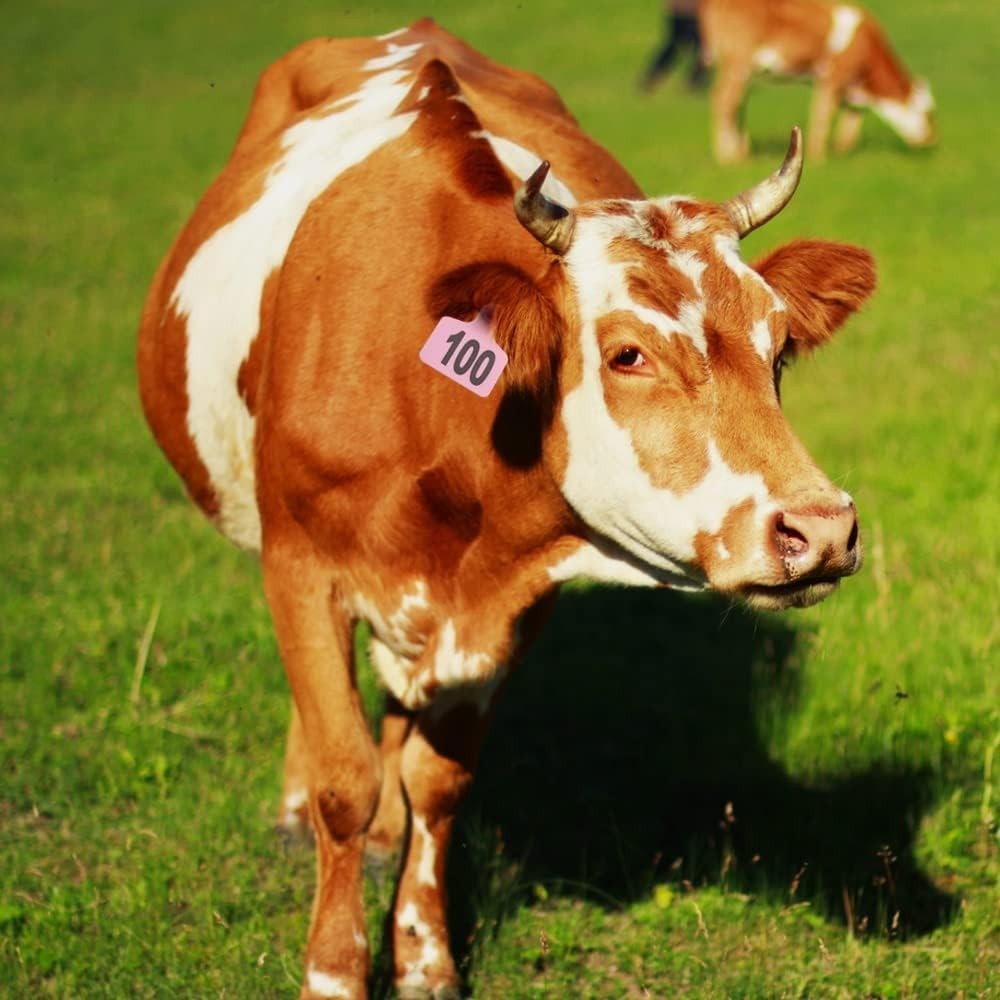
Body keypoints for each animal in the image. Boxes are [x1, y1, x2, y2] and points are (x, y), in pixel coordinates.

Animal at [137, 18, 876, 999]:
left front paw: (424, 953)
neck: (430, 407)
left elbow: (435, 781)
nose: (821, 529)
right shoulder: (301, 565)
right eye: (629, 353)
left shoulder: (505, 604)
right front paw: (334, 967)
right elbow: (343, 777)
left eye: (781, 347)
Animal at [699, 0, 935, 162]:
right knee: (723, 100)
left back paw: (742, 153)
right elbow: (823, 115)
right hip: (737, 62)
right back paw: (728, 158)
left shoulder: (852, 89)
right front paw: (818, 157)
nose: (932, 140)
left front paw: (841, 151)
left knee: (736, 104)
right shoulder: (833, 77)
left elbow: (851, 121)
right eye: (929, 113)